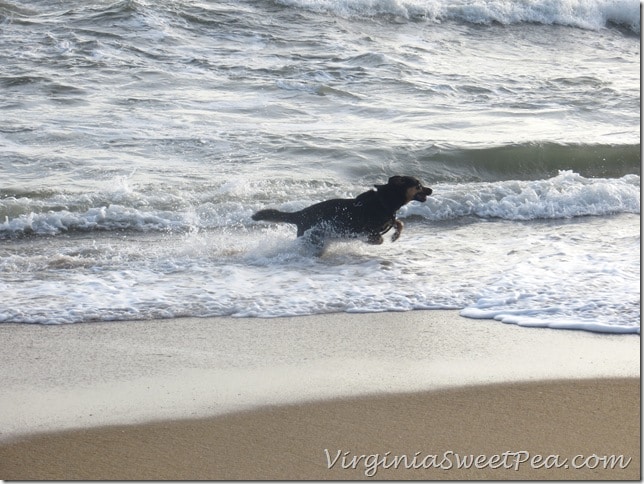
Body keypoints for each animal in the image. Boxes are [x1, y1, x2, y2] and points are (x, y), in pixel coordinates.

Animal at [252, 175, 432, 250]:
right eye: (418, 185)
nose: (431, 190)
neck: (385, 200)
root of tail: (300, 214)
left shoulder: (389, 220)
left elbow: (399, 223)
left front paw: (395, 236)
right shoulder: (364, 229)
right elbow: (377, 237)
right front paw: (375, 241)